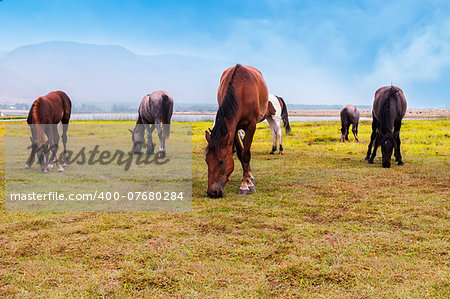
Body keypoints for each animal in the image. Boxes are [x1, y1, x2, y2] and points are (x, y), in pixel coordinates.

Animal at [207, 64, 268, 198]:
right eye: (206, 160)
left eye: (221, 161)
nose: (212, 192)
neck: (242, 90)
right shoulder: (233, 130)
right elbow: (241, 153)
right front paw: (246, 181)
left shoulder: (251, 126)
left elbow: (246, 154)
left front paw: (245, 185)